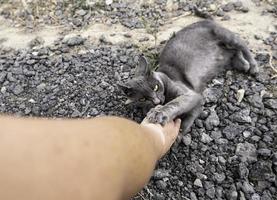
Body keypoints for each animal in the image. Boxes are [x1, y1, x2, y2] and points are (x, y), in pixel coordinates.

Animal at [118, 19, 256, 133]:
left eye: (155, 87)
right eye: (142, 99)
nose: (156, 101)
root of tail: (205, 20)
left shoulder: (191, 94)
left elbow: (177, 104)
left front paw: (161, 114)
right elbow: (191, 113)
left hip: (224, 35)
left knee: (242, 45)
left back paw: (253, 66)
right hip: (224, 55)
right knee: (233, 52)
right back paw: (243, 64)